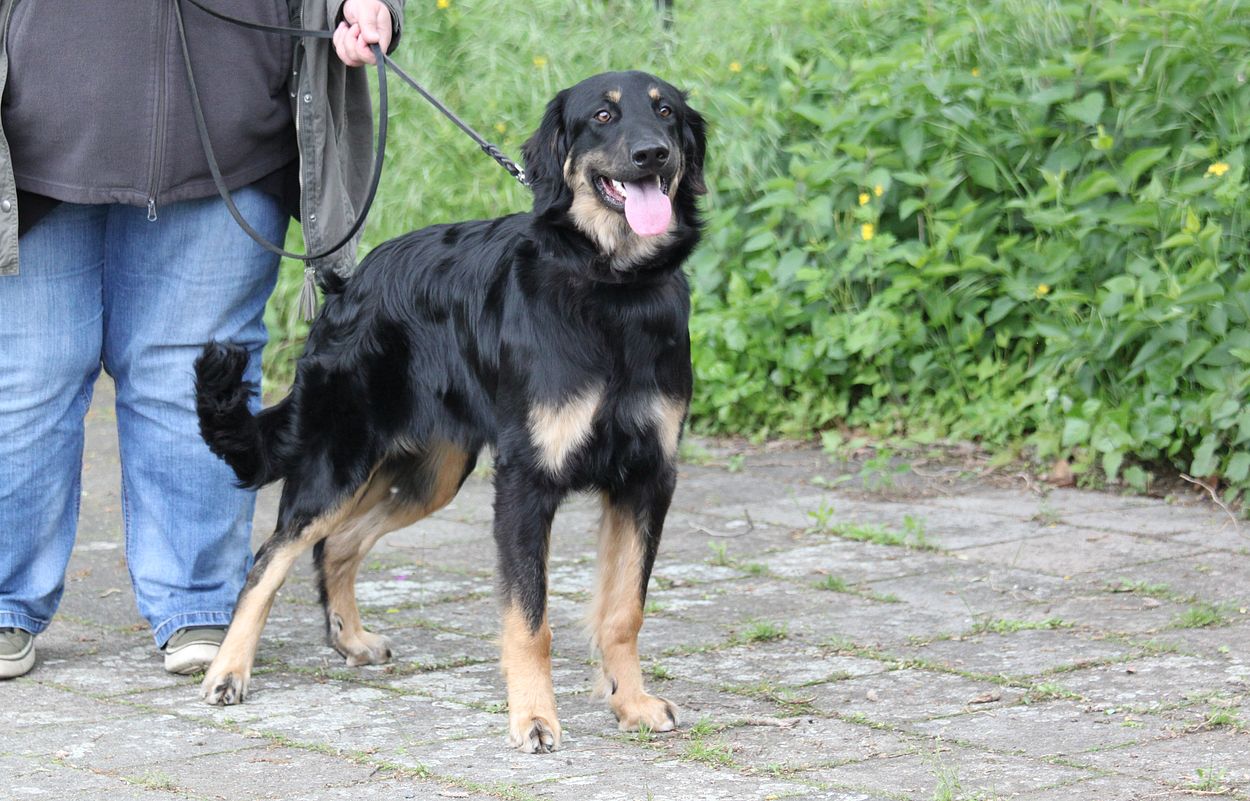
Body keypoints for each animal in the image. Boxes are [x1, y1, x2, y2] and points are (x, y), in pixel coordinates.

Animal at [193, 70, 706, 753]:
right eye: (603, 116)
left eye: (666, 112)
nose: (654, 154)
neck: (612, 290)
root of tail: (349, 285)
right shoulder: (525, 483)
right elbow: (530, 619)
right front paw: (534, 718)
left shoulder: (647, 478)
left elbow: (624, 611)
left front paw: (631, 704)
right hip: (339, 463)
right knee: (270, 558)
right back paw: (228, 670)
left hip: (430, 474)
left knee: (338, 545)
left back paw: (350, 639)